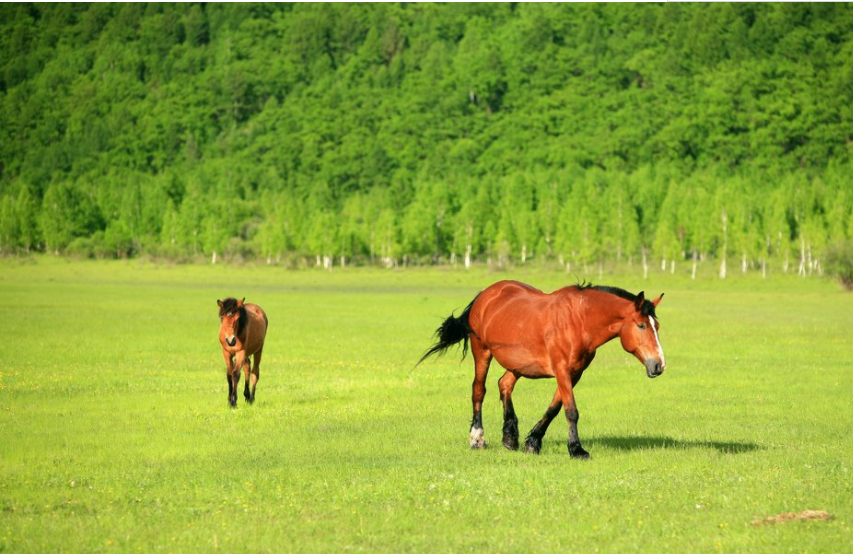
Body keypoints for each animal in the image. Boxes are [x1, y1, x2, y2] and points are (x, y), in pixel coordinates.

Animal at [420, 280, 664, 458]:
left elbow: (554, 408)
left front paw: (532, 443)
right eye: (641, 325)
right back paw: (477, 438)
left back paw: (510, 438)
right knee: (478, 391)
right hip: (481, 352)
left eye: (657, 326)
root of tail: (485, 294)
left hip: (517, 363)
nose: (659, 365)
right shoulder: (562, 370)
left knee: (504, 384)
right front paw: (576, 449)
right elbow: (571, 411)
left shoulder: (574, 373)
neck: (578, 320)